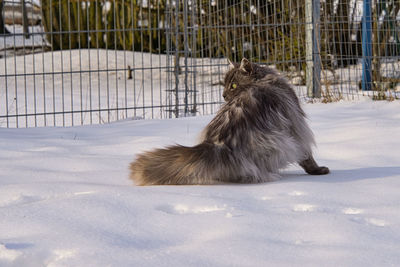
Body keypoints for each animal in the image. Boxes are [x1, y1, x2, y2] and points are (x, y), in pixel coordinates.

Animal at [130, 58, 330, 185]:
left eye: (232, 85)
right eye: (225, 85)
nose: (224, 95)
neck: (264, 80)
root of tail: (217, 144)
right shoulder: (296, 126)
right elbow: (307, 156)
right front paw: (318, 170)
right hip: (281, 142)